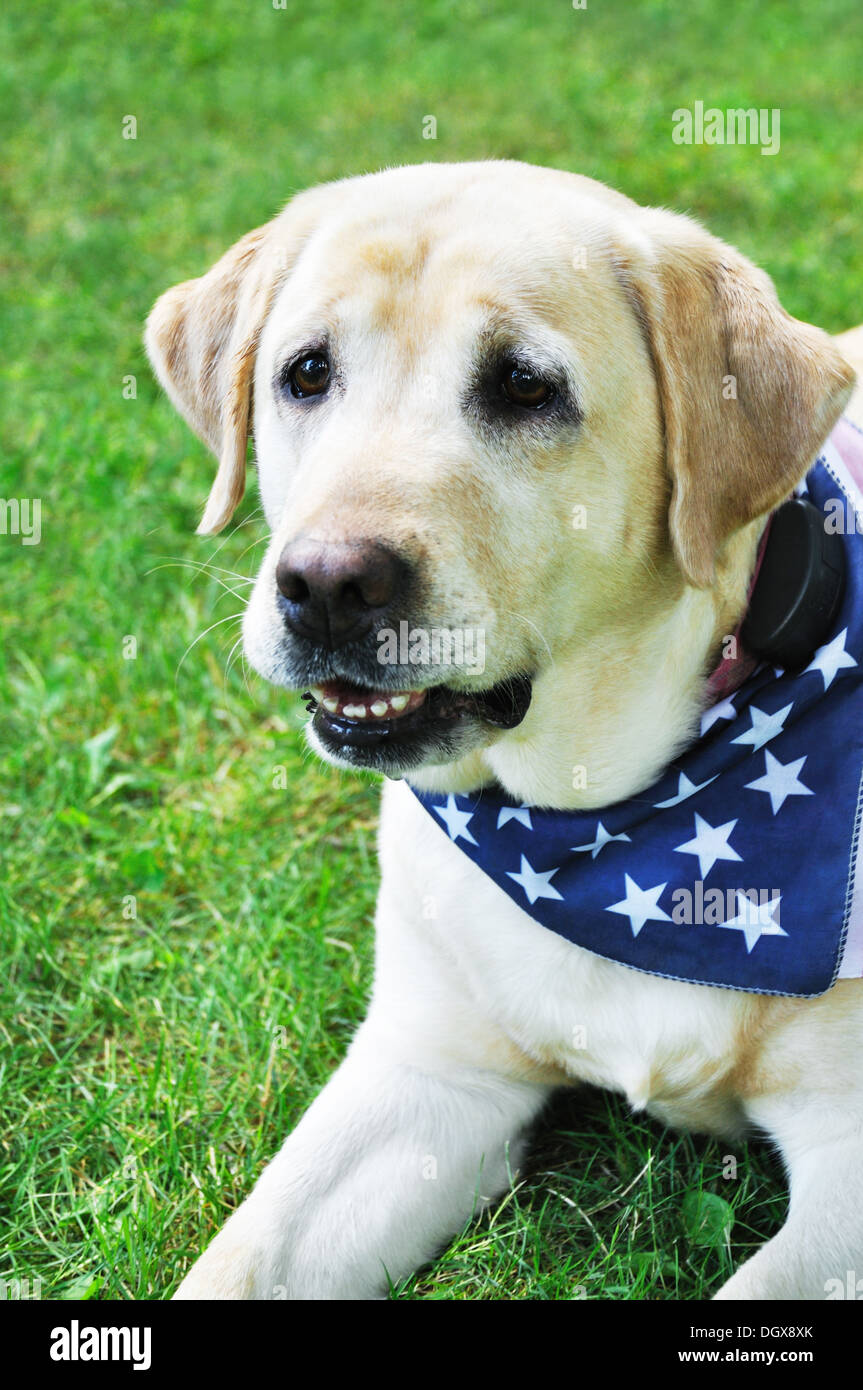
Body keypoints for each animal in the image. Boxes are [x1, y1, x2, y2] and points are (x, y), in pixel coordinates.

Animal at [146, 162, 861, 1301]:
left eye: (526, 387)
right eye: (306, 372)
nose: (326, 585)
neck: (599, 822)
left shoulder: (851, 1167)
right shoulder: (429, 1076)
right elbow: (239, 1262)